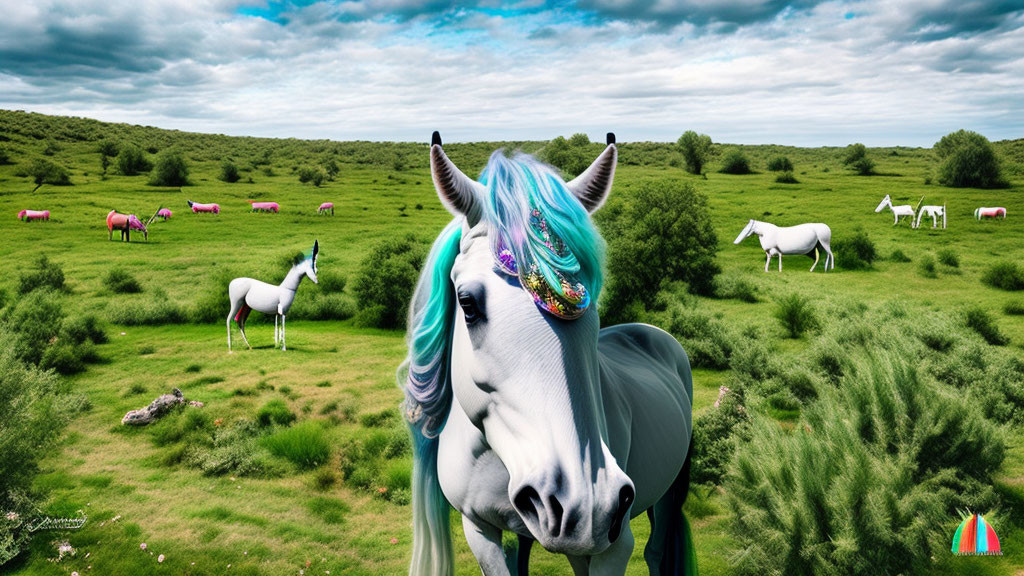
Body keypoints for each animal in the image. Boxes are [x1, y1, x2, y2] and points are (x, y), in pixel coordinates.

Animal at [399, 132, 696, 573]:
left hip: (666, 494)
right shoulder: (479, 529)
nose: (585, 503)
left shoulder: (613, 545)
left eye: (591, 303)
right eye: (467, 304)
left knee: (656, 552)